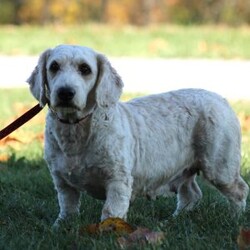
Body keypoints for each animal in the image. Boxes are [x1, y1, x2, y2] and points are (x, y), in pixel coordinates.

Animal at [26, 45, 248, 227]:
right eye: (54, 66)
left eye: (85, 69)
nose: (65, 92)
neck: (76, 130)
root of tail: (222, 99)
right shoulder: (62, 180)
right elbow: (68, 208)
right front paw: (61, 227)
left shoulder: (118, 179)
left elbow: (111, 211)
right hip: (184, 168)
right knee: (191, 194)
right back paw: (174, 220)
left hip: (220, 165)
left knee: (239, 190)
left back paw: (234, 220)